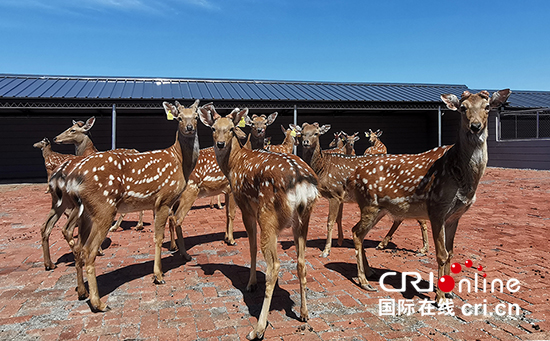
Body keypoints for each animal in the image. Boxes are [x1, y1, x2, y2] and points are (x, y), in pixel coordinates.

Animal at [56, 99, 202, 310]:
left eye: (196, 116)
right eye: (179, 117)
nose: (190, 128)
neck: (180, 160)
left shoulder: (157, 202)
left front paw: (182, 256)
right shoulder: (164, 199)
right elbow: (159, 237)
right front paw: (158, 275)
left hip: (86, 212)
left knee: (78, 248)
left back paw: (82, 292)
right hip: (104, 207)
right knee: (89, 250)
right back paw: (98, 303)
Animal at [198, 105, 320, 338]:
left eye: (231, 129)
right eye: (213, 129)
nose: (220, 144)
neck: (234, 164)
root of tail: (301, 182)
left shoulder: (246, 206)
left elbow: (251, 246)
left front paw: (251, 283)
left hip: (268, 215)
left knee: (274, 266)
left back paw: (258, 329)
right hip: (304, 218)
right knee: (301, 262)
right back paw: (304, 313)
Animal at [350, 89, 512, 300]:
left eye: (487, 107)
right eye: (463, 108)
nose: (475, 126)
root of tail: (354, 175)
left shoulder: (455, 216)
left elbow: (451, 253)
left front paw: (449, 293)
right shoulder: (437, 208)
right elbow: (441, 254)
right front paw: (439, 297)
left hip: (378, 209)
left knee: (358, 232)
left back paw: (370, 272)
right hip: (369, 203)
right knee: (356, 233)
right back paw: (363, 281)